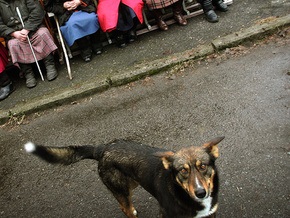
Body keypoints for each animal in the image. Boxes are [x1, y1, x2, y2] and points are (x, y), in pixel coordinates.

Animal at [24, 137, 224, 217]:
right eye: (183, 171)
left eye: (203, 166)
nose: (201, 192)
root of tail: (102, 148)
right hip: (120, 186)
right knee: (125, 208)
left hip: (131, 183)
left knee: (124, 205)